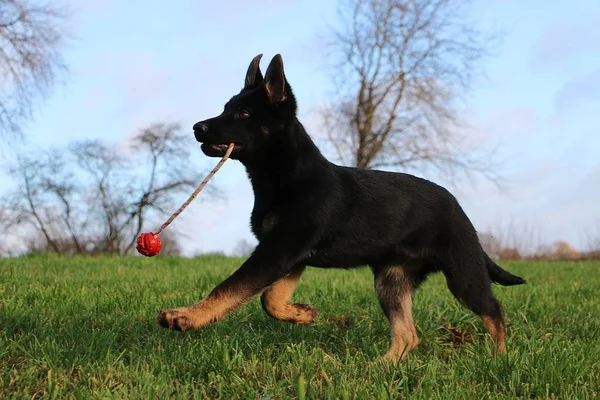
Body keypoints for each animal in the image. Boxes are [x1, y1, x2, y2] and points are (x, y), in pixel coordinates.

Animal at [159, 53, 524, 362]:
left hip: (462, 273)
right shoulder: (289, 256)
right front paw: (302, 314)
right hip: (391, 281)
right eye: (226, 108)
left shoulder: (278, 252)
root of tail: (459, 209)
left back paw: (499, 358)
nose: (197, 128)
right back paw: (380, 368)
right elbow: (269, 299)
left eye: (244, 114)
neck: (286, 176)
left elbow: (230, 287)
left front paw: (186, 316)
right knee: (408, 334)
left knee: (493, 310)